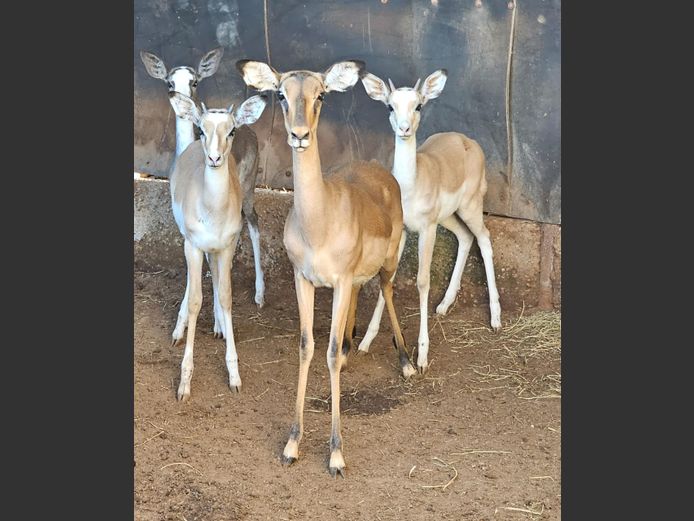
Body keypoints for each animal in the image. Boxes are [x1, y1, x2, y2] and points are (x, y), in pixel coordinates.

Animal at [140, 48, 267, 315]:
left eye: (195, 81)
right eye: (169, 82)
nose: (180, 100)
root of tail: (249, 130)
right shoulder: (186, 224)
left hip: (248, 189)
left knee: (253, 222)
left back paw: (260, 295)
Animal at [166, 91, 267, 401]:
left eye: (231, 130)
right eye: (201, 129)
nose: (214, 157)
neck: (212, 210)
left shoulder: (227, 245)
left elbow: (225, 296)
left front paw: (234, 375)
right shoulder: (193, 245)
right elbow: (196, 299)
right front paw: (184, 383)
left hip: (247, 199)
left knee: (252, 226)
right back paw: (182, 328)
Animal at [236, 59, 415, 477]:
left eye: (321, 96)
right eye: (281, 94)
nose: (299, 135)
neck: (318, 223)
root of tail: (380, 171)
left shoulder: (341, 280)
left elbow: (329, 352)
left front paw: (336, 454)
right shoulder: (305, 280)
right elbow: (307, 346)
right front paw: (291, 444)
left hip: (387, 263)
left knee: (386, 291)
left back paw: (405, 362)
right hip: (351, 281)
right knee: (358, 301)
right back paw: (353, 349)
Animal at [359, 69, 502, 373]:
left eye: (419, 106)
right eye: (390, 106)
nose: (404, 129)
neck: (411, 186)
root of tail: (469, 142)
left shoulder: (426, 228)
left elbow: (422, 281)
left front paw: (422, 356)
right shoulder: (401, 231)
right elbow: (387, 280)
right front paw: (366, 341)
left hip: (470, 207)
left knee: (484, 239)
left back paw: (495, 318)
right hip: (448, 217)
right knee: (465, 238)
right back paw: (444, 305)